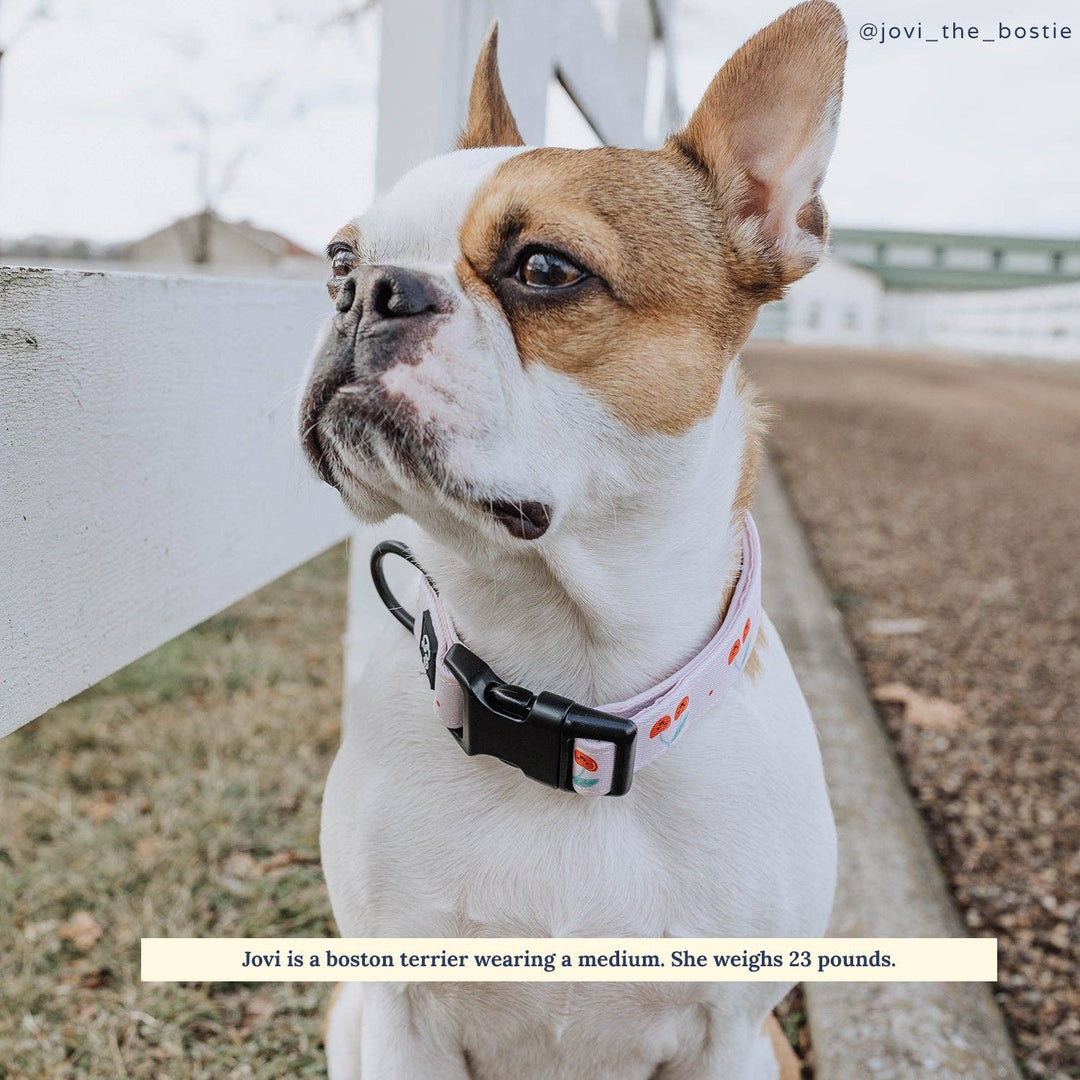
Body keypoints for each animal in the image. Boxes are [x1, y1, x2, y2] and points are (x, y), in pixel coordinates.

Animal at [300, 4, 846, 1075]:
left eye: (546, 269)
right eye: (340, 256)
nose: (368, 289)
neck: (566, 667)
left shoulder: (731, 1034)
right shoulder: (399, 1011)